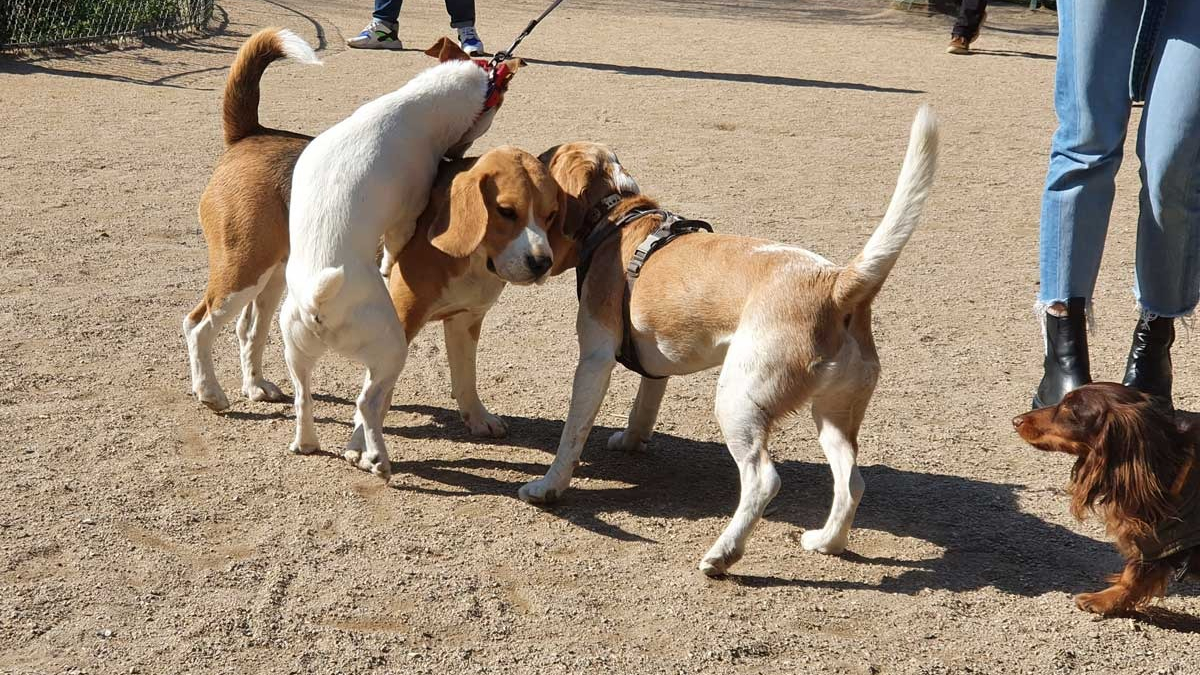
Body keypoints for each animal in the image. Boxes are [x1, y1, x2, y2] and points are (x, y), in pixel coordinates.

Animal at [280, 40, 525, 478]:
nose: (454, 157)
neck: (416, 103)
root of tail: (316, 303)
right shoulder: (406, 216)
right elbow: (396, 244)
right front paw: (386, 265)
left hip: (295, 350)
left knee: (303, 397)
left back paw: (305, 443)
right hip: (391, 348)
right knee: (366, 403)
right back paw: (378, 459)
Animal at [530, 106, 940, 571]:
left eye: (541, 163)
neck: (617, 216)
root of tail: (834, 283)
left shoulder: (594, 360)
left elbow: (572, 434)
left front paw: (547, 488)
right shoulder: (654, 364)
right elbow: (643, 409)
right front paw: (631, 442)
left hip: (738, 401)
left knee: (764, 481)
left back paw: (722, 554)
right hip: (834, 415)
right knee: (852, 482)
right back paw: (827, 541)